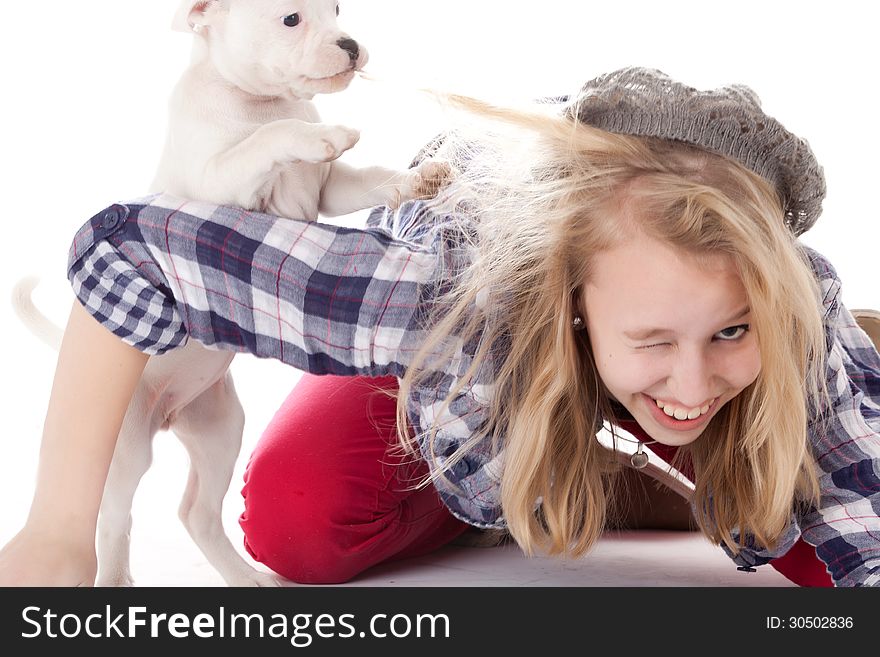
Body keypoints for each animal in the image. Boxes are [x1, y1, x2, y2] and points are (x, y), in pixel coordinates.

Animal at [16, 0, 446, 584]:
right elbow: (269, 140)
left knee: (194, 513)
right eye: (291, 20)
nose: (351, 45)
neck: (260, 102)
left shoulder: (331, 189)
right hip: (126, 450)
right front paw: (317, 136)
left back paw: (247, 577)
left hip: (219, 426)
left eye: (338, 11)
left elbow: (369, 178)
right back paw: (116, 577)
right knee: (114, 522)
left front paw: (419, 178)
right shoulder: (219, 183)